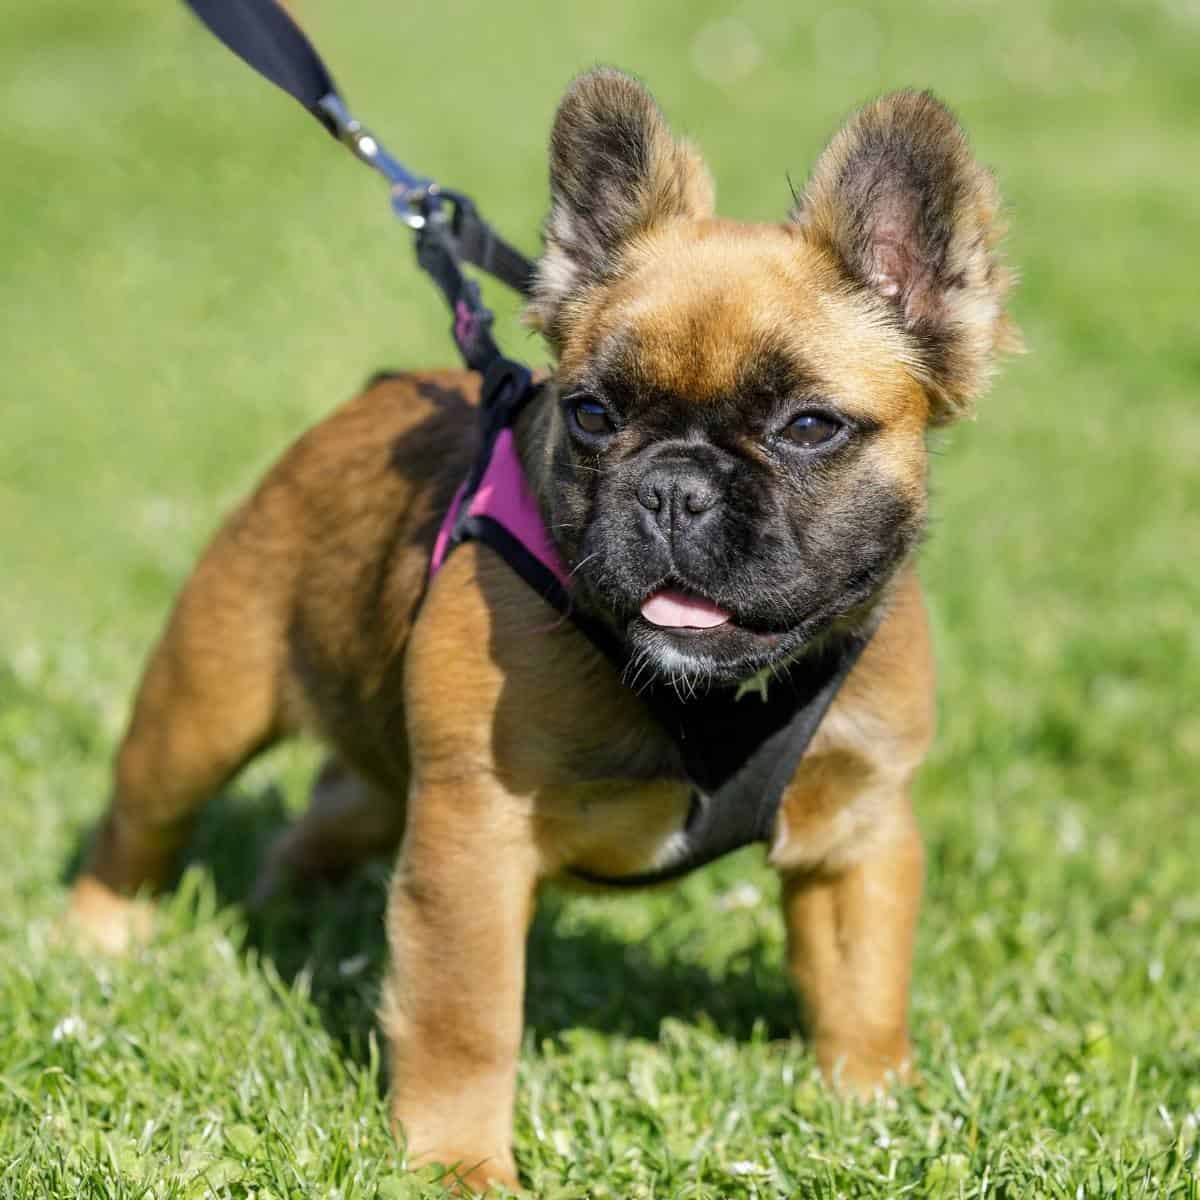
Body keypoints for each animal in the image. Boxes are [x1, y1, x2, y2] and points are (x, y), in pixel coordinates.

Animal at [70, 70, 1017, 1195]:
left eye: (809, 428)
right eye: (595, 415)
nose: (673, 487)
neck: (708, 690)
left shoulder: (858, 832)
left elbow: (861, 985)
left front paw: (872, 1109)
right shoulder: (472, 846)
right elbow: (464, 1022)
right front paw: (458, 1165)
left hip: (384, 775)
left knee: (327, 814)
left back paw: (291, 913)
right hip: (202, 708)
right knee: (139, 824)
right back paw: (99, 937)